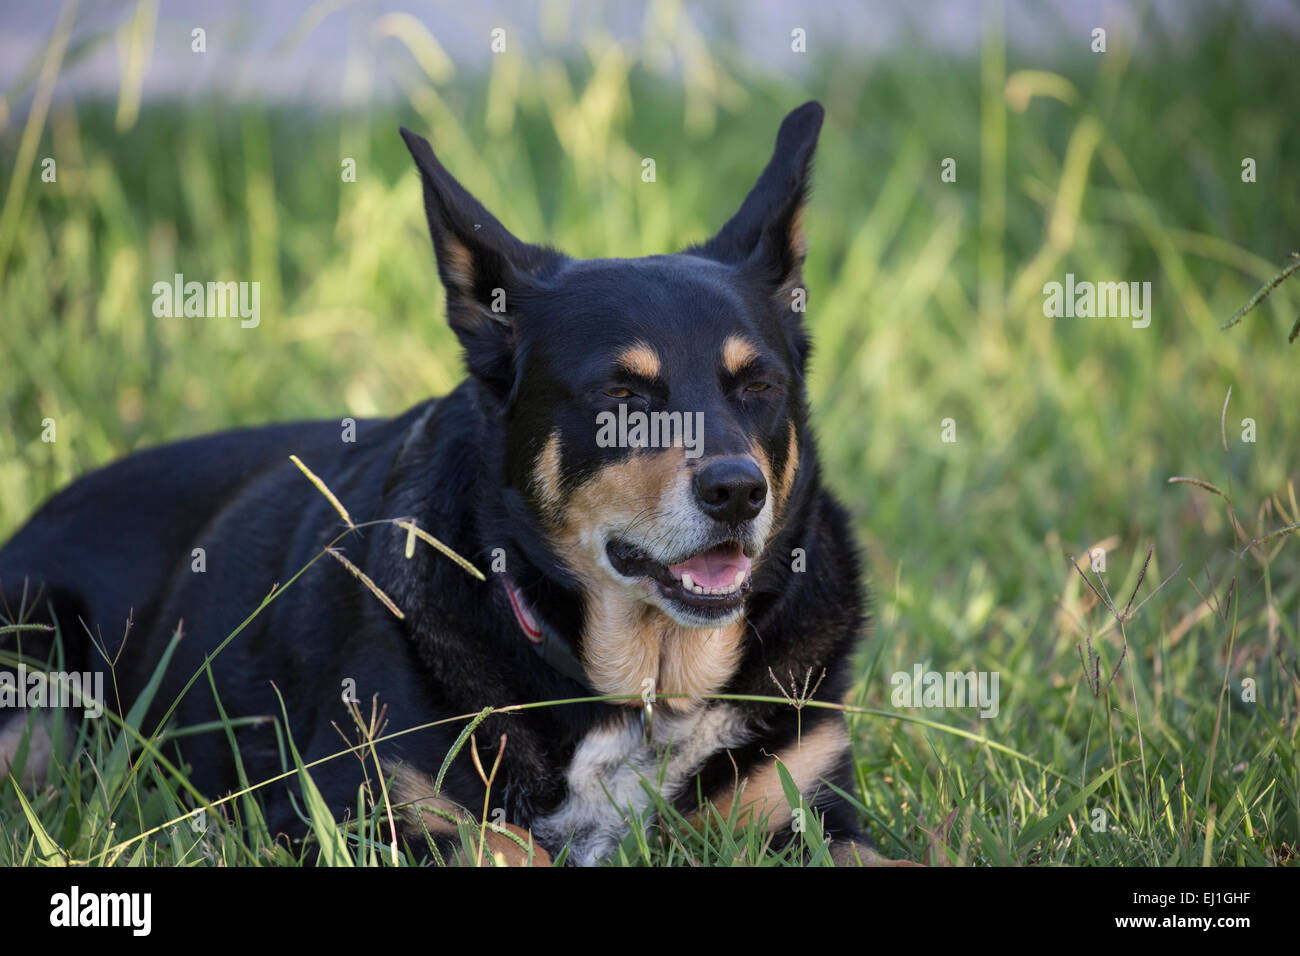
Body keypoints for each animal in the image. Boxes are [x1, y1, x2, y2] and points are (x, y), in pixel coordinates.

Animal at [0, 100, 904, 863]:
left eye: (758, 387)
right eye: (623, 397)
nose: (737, 492)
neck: (642, 687)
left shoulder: (809, 808)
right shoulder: (361, 807)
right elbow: (508, 846)